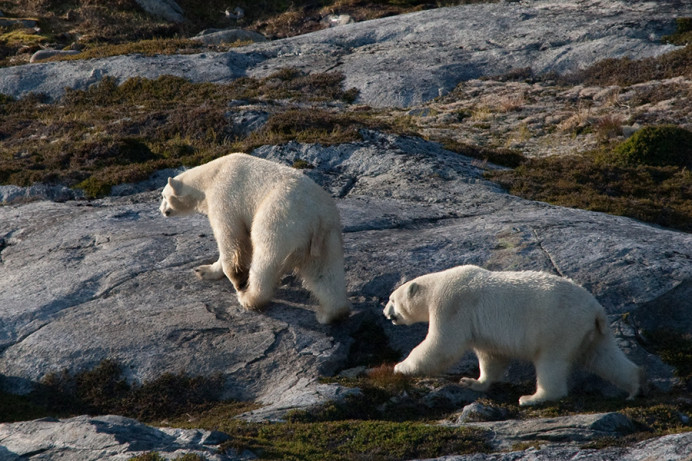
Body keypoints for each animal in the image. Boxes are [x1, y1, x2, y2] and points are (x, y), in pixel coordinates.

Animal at [160, 153, 350, 324]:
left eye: (163, 196)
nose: (161, 210)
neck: (210, 177)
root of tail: (317, 217)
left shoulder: (224, 198)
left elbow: (230, 238)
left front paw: (237, 278)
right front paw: (204, 270)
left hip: (279, 222)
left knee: (265, 259)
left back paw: (249, 297)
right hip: (328, 237)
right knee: (324, 272)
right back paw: (329, 314)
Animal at [383, 265, 643, 406]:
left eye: (391, 299)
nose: (386, 313)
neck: (436, 285)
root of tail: (596, 309)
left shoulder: (451, 304)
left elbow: (441, 344)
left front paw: (401, 367)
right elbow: (491, 357)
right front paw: (472, 382)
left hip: (559, 328)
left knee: (551, 363)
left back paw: (533, 398)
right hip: (592, 332)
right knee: (604, 356)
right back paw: (635, 387)